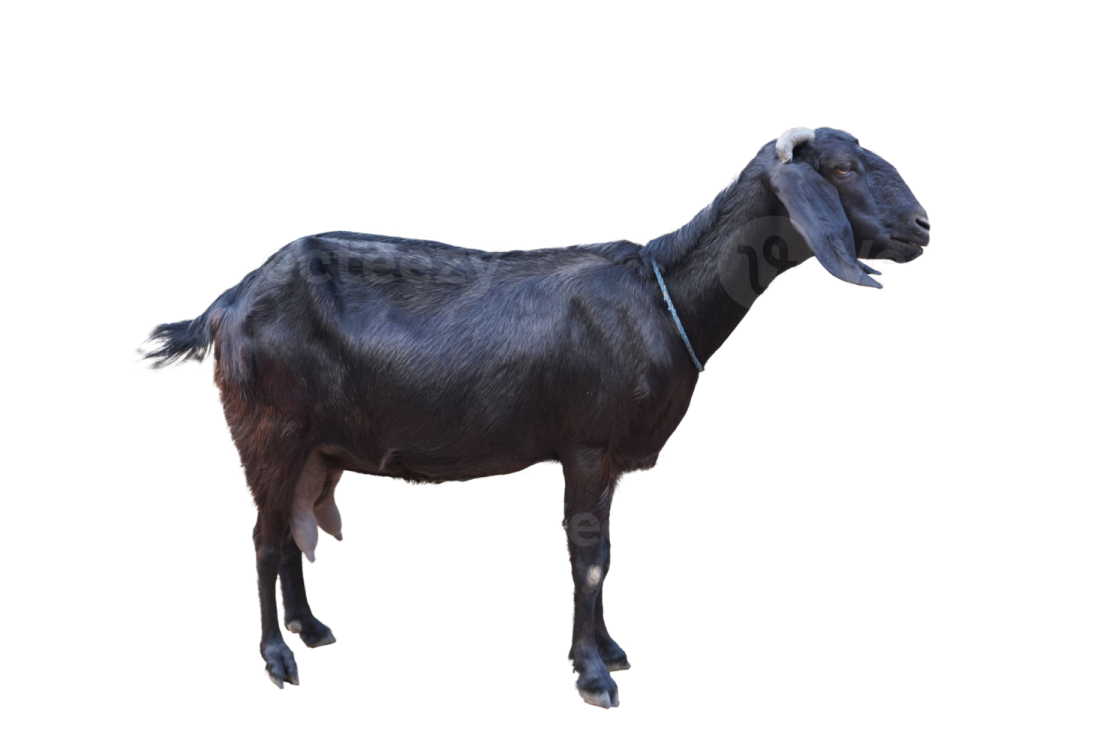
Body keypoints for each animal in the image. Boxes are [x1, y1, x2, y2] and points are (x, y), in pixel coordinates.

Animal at [129, 126, 931, 708]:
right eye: (843, 169)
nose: (923, 227)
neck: (664, 293)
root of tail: (226, 306)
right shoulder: (587, 445)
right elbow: (588, 555)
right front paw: (593, 675)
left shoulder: (610, 461)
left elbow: (604, 553)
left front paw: (609, 651)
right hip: (269, 428)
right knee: (266, 540)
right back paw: (278, 658)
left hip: (317, 448)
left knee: (296, 533)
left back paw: (311, 628)